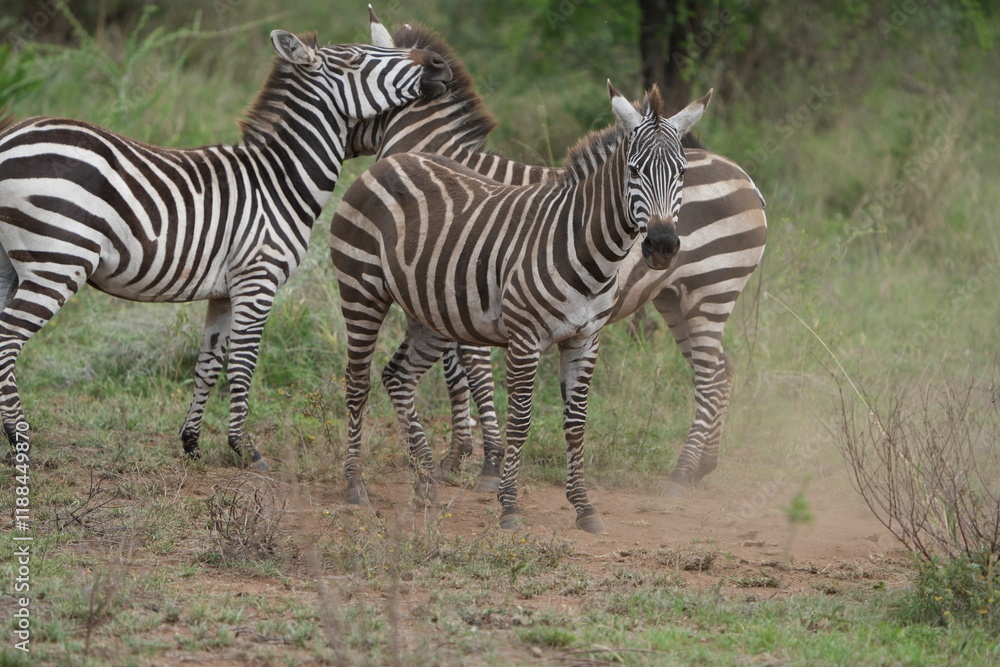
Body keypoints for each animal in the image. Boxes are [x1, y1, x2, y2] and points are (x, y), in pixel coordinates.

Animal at [0, 30, 451, 469]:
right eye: (357, 59)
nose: (440, 63)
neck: (280, 181)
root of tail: (11, 137)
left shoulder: (223, 292)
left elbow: (208, 365)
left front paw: (192, 443)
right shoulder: (258, 279)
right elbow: (243, 363)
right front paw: (243, 448)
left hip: (11, 266)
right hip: (58, 261)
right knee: (7, 339)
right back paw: (21, 442)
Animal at [331, 81, 711, 532]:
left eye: (683, 173)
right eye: (634, 171)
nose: (663, 246)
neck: (588, 250)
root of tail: (389, 162)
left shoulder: (586, 340)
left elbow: (576, 425)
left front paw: (584, 508)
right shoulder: (525, 340)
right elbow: (521, 421)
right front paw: (509, 505)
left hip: (429, 313)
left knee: (397, 376)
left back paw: (425, 483)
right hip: (361, 289)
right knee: (358, 383)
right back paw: (354, 486)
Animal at [347, 15, 766, 495]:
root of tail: (743, 174)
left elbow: (472, 370)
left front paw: (488, 462)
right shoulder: (446, 291)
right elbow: (456, 370)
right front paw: (456, 456)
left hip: (711, 287)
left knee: (712, 375)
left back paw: (682, 472)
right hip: (675, 297)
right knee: (720, 370)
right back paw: (703, 465)